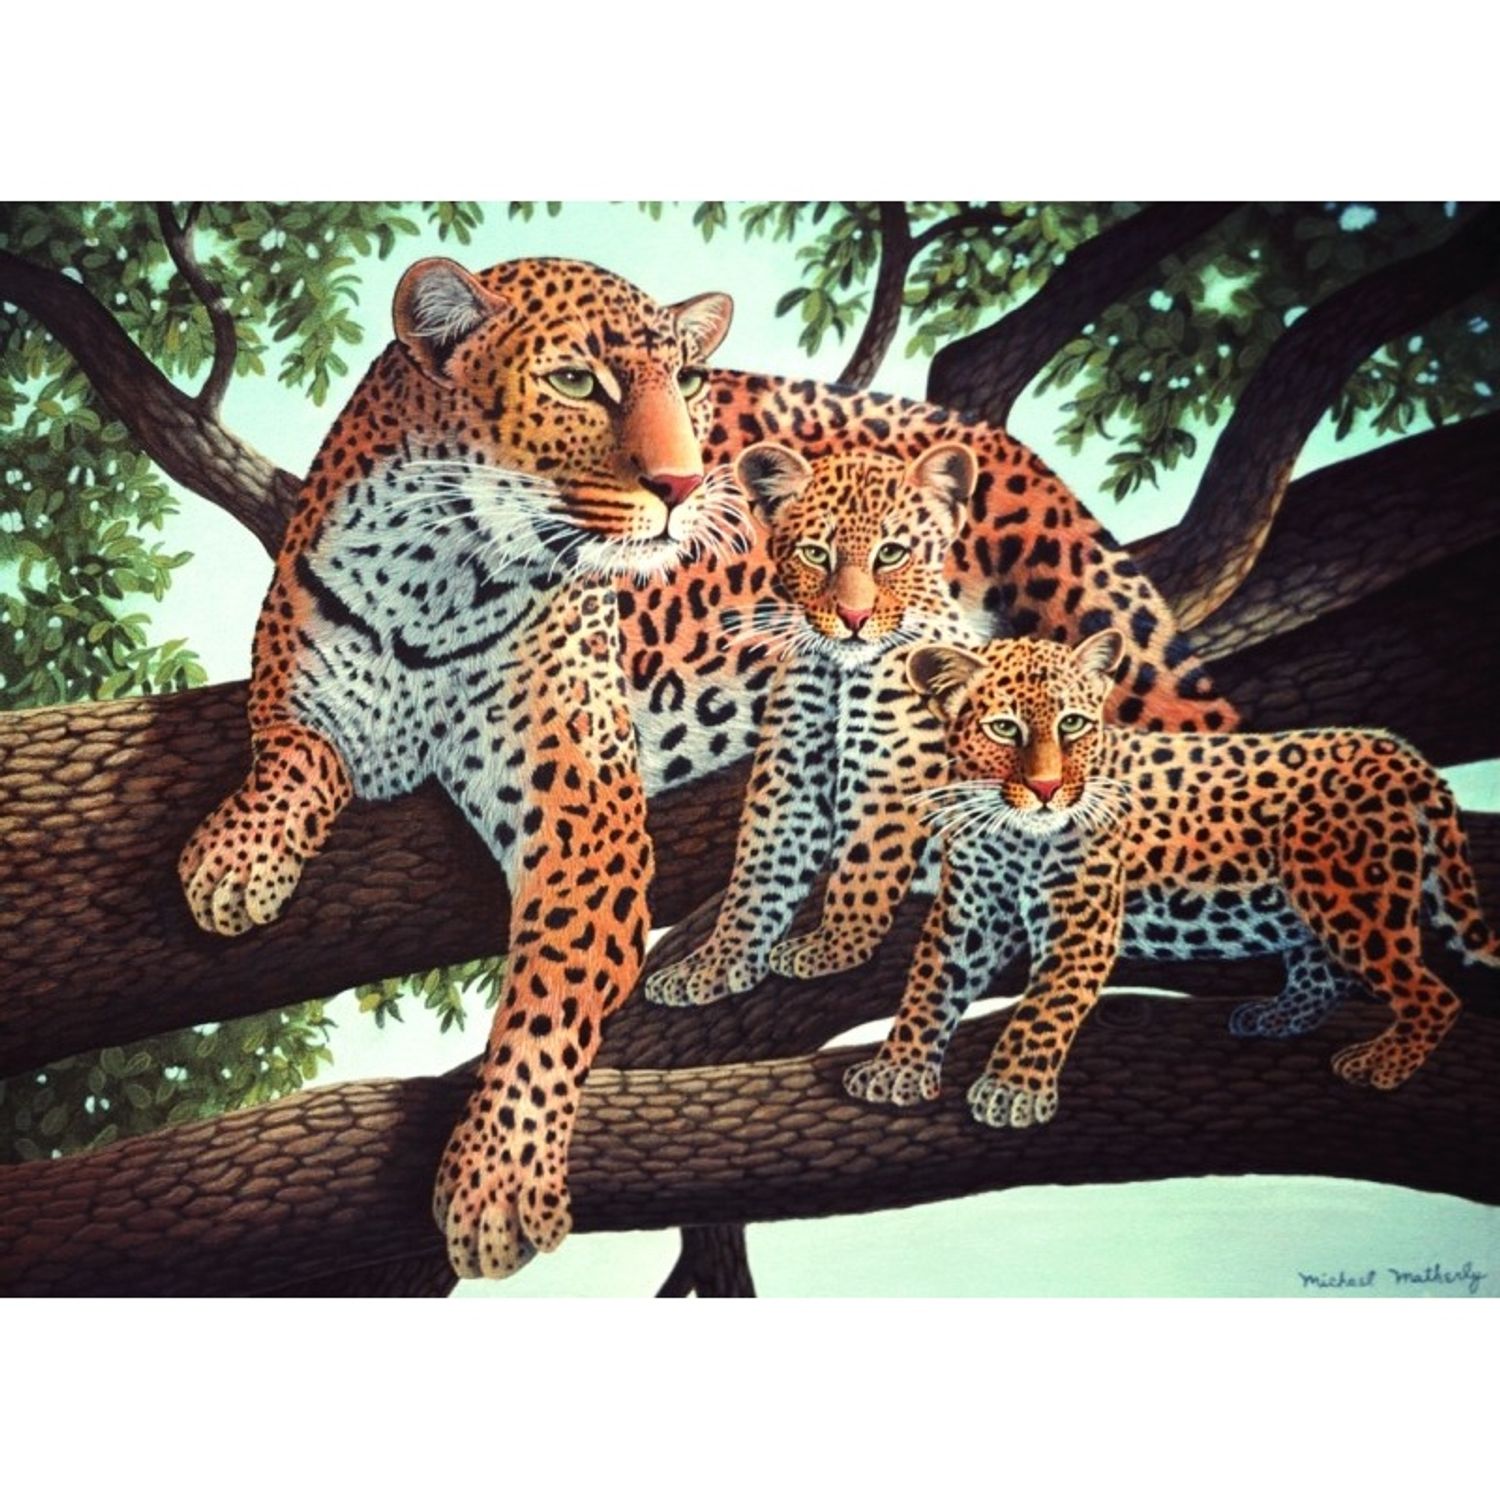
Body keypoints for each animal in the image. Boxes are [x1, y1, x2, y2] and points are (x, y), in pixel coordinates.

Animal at [646, 440, 985, 1009]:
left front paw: (835, 946)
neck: (839, 674)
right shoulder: (792, 780)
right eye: (815, 554)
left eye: (891, 553)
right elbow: (759, 873)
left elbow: (868, 861)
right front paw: (716, 963)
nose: (853, 618)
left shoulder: (891, 775)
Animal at [844, 630, 1498, 1127]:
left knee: (1433, 994)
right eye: (1004, 729)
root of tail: (1401, 754)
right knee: (1323, 972)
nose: (1047, 789)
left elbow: (1043, 1010)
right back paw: (1277, 1017)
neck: (1011, 830)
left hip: (1350, 894)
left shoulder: (1080, 924)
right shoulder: (973, 912)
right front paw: (899, 1067)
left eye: (1074, 724)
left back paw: (1382, 1065)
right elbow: (931, 987)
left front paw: (1012, 1089)